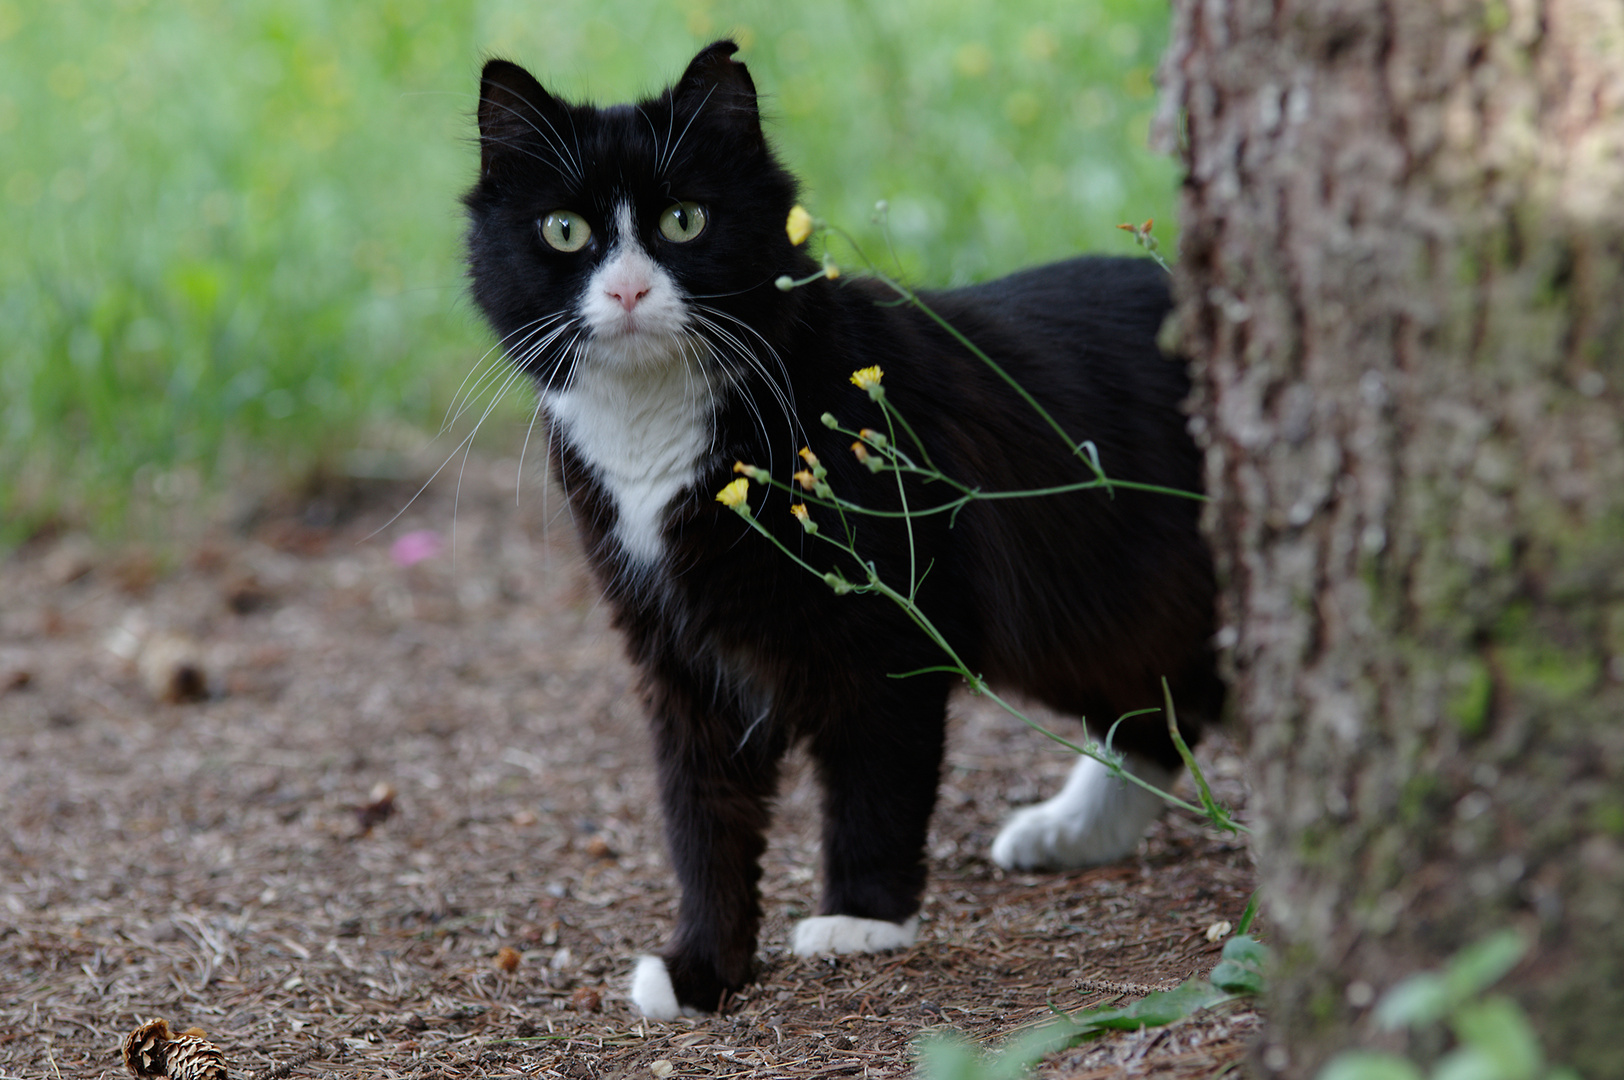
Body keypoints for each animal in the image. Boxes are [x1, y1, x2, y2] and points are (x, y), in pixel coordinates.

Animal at [457, 44, 1221, 1019]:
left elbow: (874, 780)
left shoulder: (887, 631)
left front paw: (862, 922)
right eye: (563, 231)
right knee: (1159, 711)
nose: (627, 288)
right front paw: (702, 967)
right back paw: (1075, 829)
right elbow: (701, 818)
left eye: (683, 220)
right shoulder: (678, 655)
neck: (659, 435)